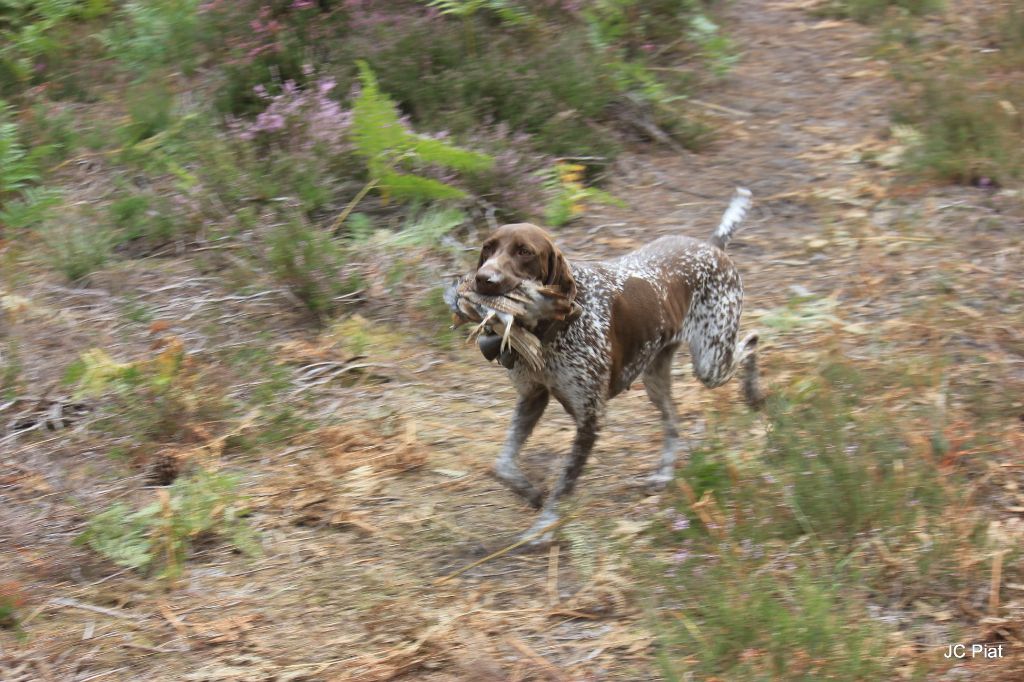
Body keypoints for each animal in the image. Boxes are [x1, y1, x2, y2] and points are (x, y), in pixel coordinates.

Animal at [471, 188, 761, 540]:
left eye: (524, 251)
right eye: (488, 247)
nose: (484, 279)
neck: (551, 330)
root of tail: (713, 246)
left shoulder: (590, 418)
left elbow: (563, 486)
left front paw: (543, 529)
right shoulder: (532, 398)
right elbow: (502, 466)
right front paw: (531, 493)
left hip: (711, 363)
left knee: (752, 343)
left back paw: (753, 394)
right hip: (656, 377)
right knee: (673, 421)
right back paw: (664, 474)